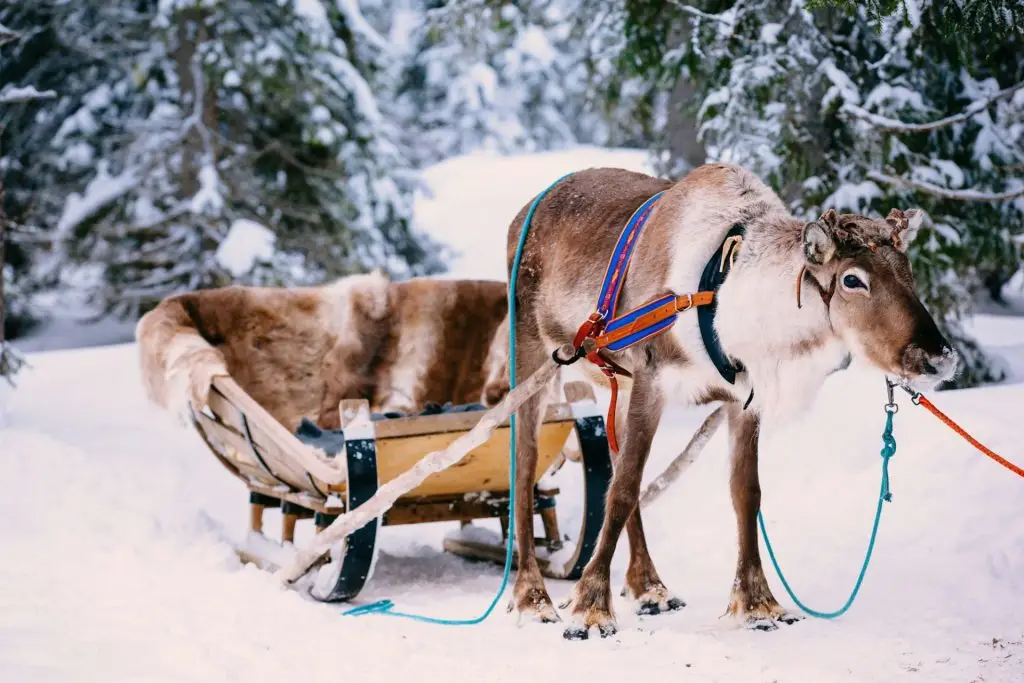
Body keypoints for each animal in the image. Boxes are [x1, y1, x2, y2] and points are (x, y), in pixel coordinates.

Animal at [505, 163, 956, 640]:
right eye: (853, 279)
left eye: (908, 272)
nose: (938, 358)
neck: (730, 302)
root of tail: (525, 212)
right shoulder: (652, 377)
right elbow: (624, 490)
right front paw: (589, 609)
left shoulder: (743, 400)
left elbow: (745, 493)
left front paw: (758, 604)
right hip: (532, 352)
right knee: (526, 465)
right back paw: (532, 597)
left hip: (617, 384)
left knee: (613, 458)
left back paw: (649, 587)